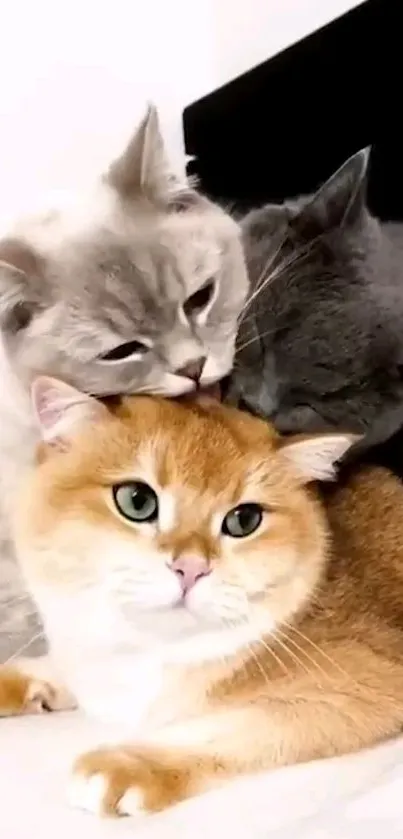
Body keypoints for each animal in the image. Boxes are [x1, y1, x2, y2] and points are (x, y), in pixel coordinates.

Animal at [6, 378, 403, 820]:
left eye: (244, 520)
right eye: (137, 500)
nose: (191, 568)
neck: (148, 653)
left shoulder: (363, 684)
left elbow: (230, 727)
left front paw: (129, 764)